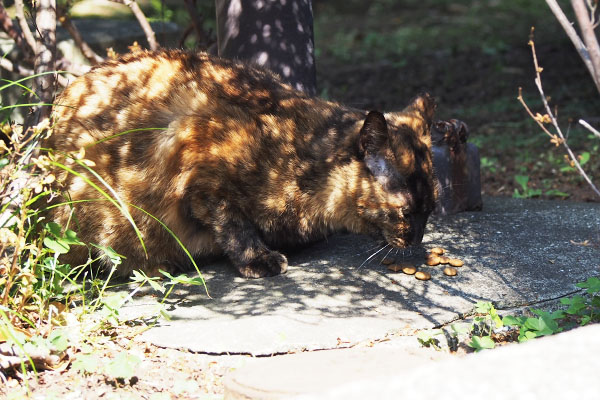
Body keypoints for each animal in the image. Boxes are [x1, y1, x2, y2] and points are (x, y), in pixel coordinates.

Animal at [47, 50, 438, 278]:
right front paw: (258, 259)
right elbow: (233, 222)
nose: (417, 237)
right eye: (405, 212)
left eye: (431, 209)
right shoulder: (193, 151)